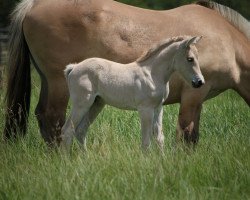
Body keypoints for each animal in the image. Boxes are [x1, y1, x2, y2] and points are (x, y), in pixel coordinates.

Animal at [4, 0, 250, 146]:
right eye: (190, 59)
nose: (198, 79)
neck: (226, 38)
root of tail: (34, 5)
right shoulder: (193, 95)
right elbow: (187, 136)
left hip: (51, 83)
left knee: (45, 117)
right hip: (60, 87)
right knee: (54, 119)